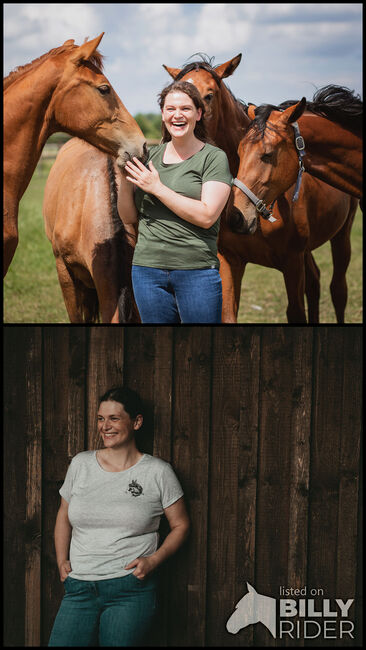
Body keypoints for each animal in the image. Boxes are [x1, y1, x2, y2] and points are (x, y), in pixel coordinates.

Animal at [167, 58, 360, 322]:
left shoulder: (292, 262)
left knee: (338, 290)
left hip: (341, 235)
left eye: (209, 95)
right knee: (315, 282)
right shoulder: (230, 260)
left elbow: (296, 313)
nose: (237, 218)